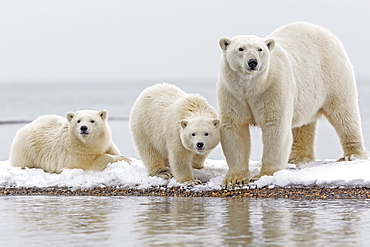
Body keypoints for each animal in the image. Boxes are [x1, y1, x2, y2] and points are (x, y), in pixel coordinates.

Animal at [217, 22, 368, 186]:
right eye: (240, 48)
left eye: (260, 49)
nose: (253, 62)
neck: (252, 87)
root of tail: (325, 32)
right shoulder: (232, 93)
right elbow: (234, 127)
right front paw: (234, 179)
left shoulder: (273, 87)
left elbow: (275, 126)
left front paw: (264, 174)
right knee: (303, 125)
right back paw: (297, 158)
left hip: (333, 75)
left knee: (343, 113)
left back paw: (352, 155)